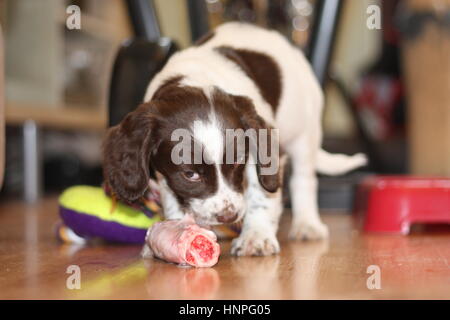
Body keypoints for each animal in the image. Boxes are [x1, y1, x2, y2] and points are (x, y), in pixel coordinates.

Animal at [103, 22, 368, 256]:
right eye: (190, 174)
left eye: (238, 163)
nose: (228, 217)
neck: (193, 79)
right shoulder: (167, 176)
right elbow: (174, 200)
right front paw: (176, 229)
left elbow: (261, 194)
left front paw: (256, 237)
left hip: (304, 130)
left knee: (304, 179)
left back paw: (307, 224)